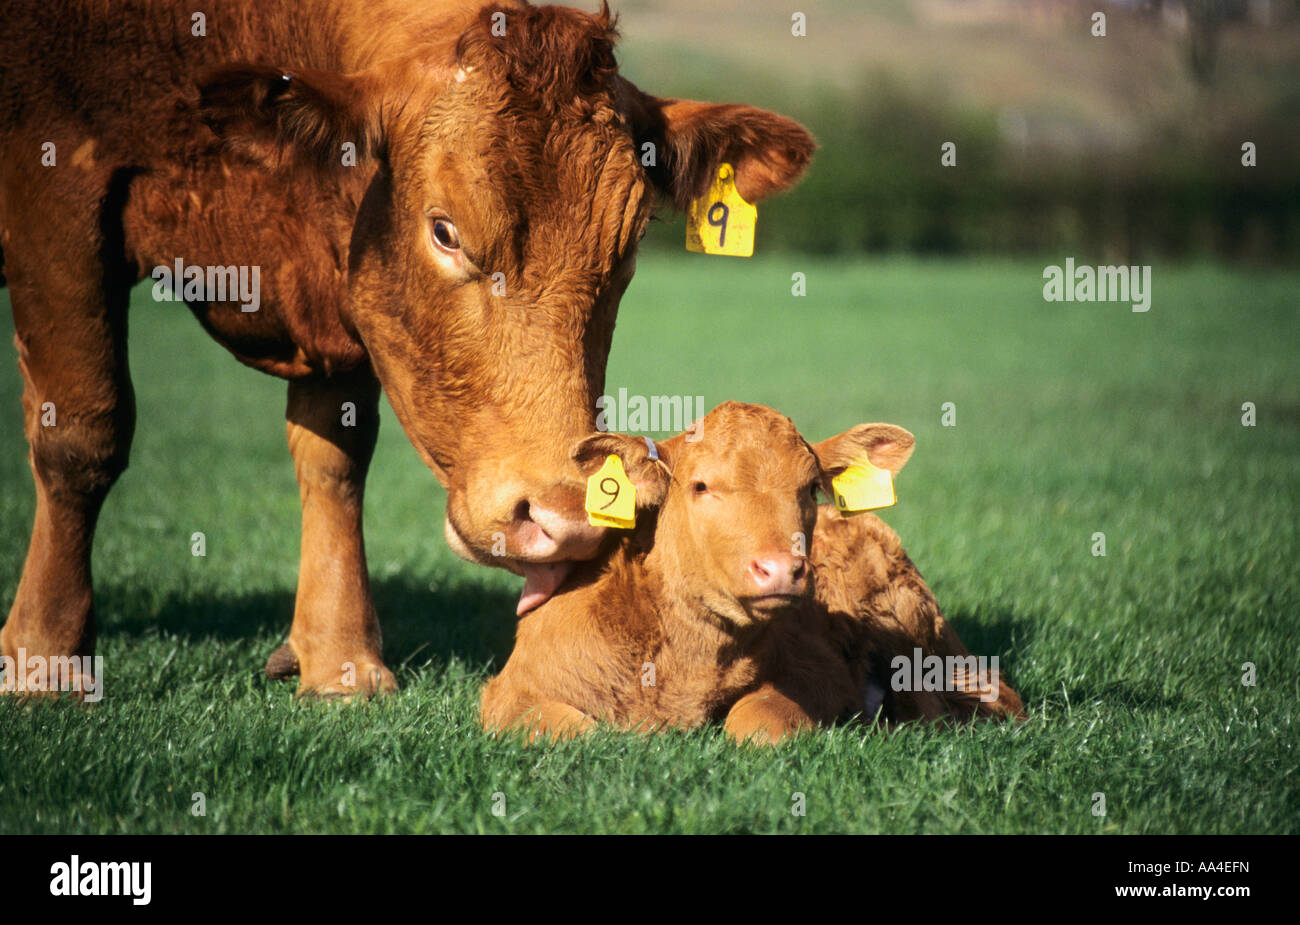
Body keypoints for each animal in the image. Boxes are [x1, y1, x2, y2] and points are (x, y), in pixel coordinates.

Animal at [0, 1, 815, 697]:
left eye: (629, 250)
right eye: (444, 231)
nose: (570, 517)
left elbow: (333, 460)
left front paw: (338, 656)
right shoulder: (54, 191)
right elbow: (82, 432)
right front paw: (44, 653)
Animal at [480, 402, 1024, 743]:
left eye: (810, 488)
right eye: (700, 486)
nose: (781, 568)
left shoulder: (817, 669)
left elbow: (757, 722)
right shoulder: (510, 690)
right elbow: (575, 731)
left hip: (915, 625)